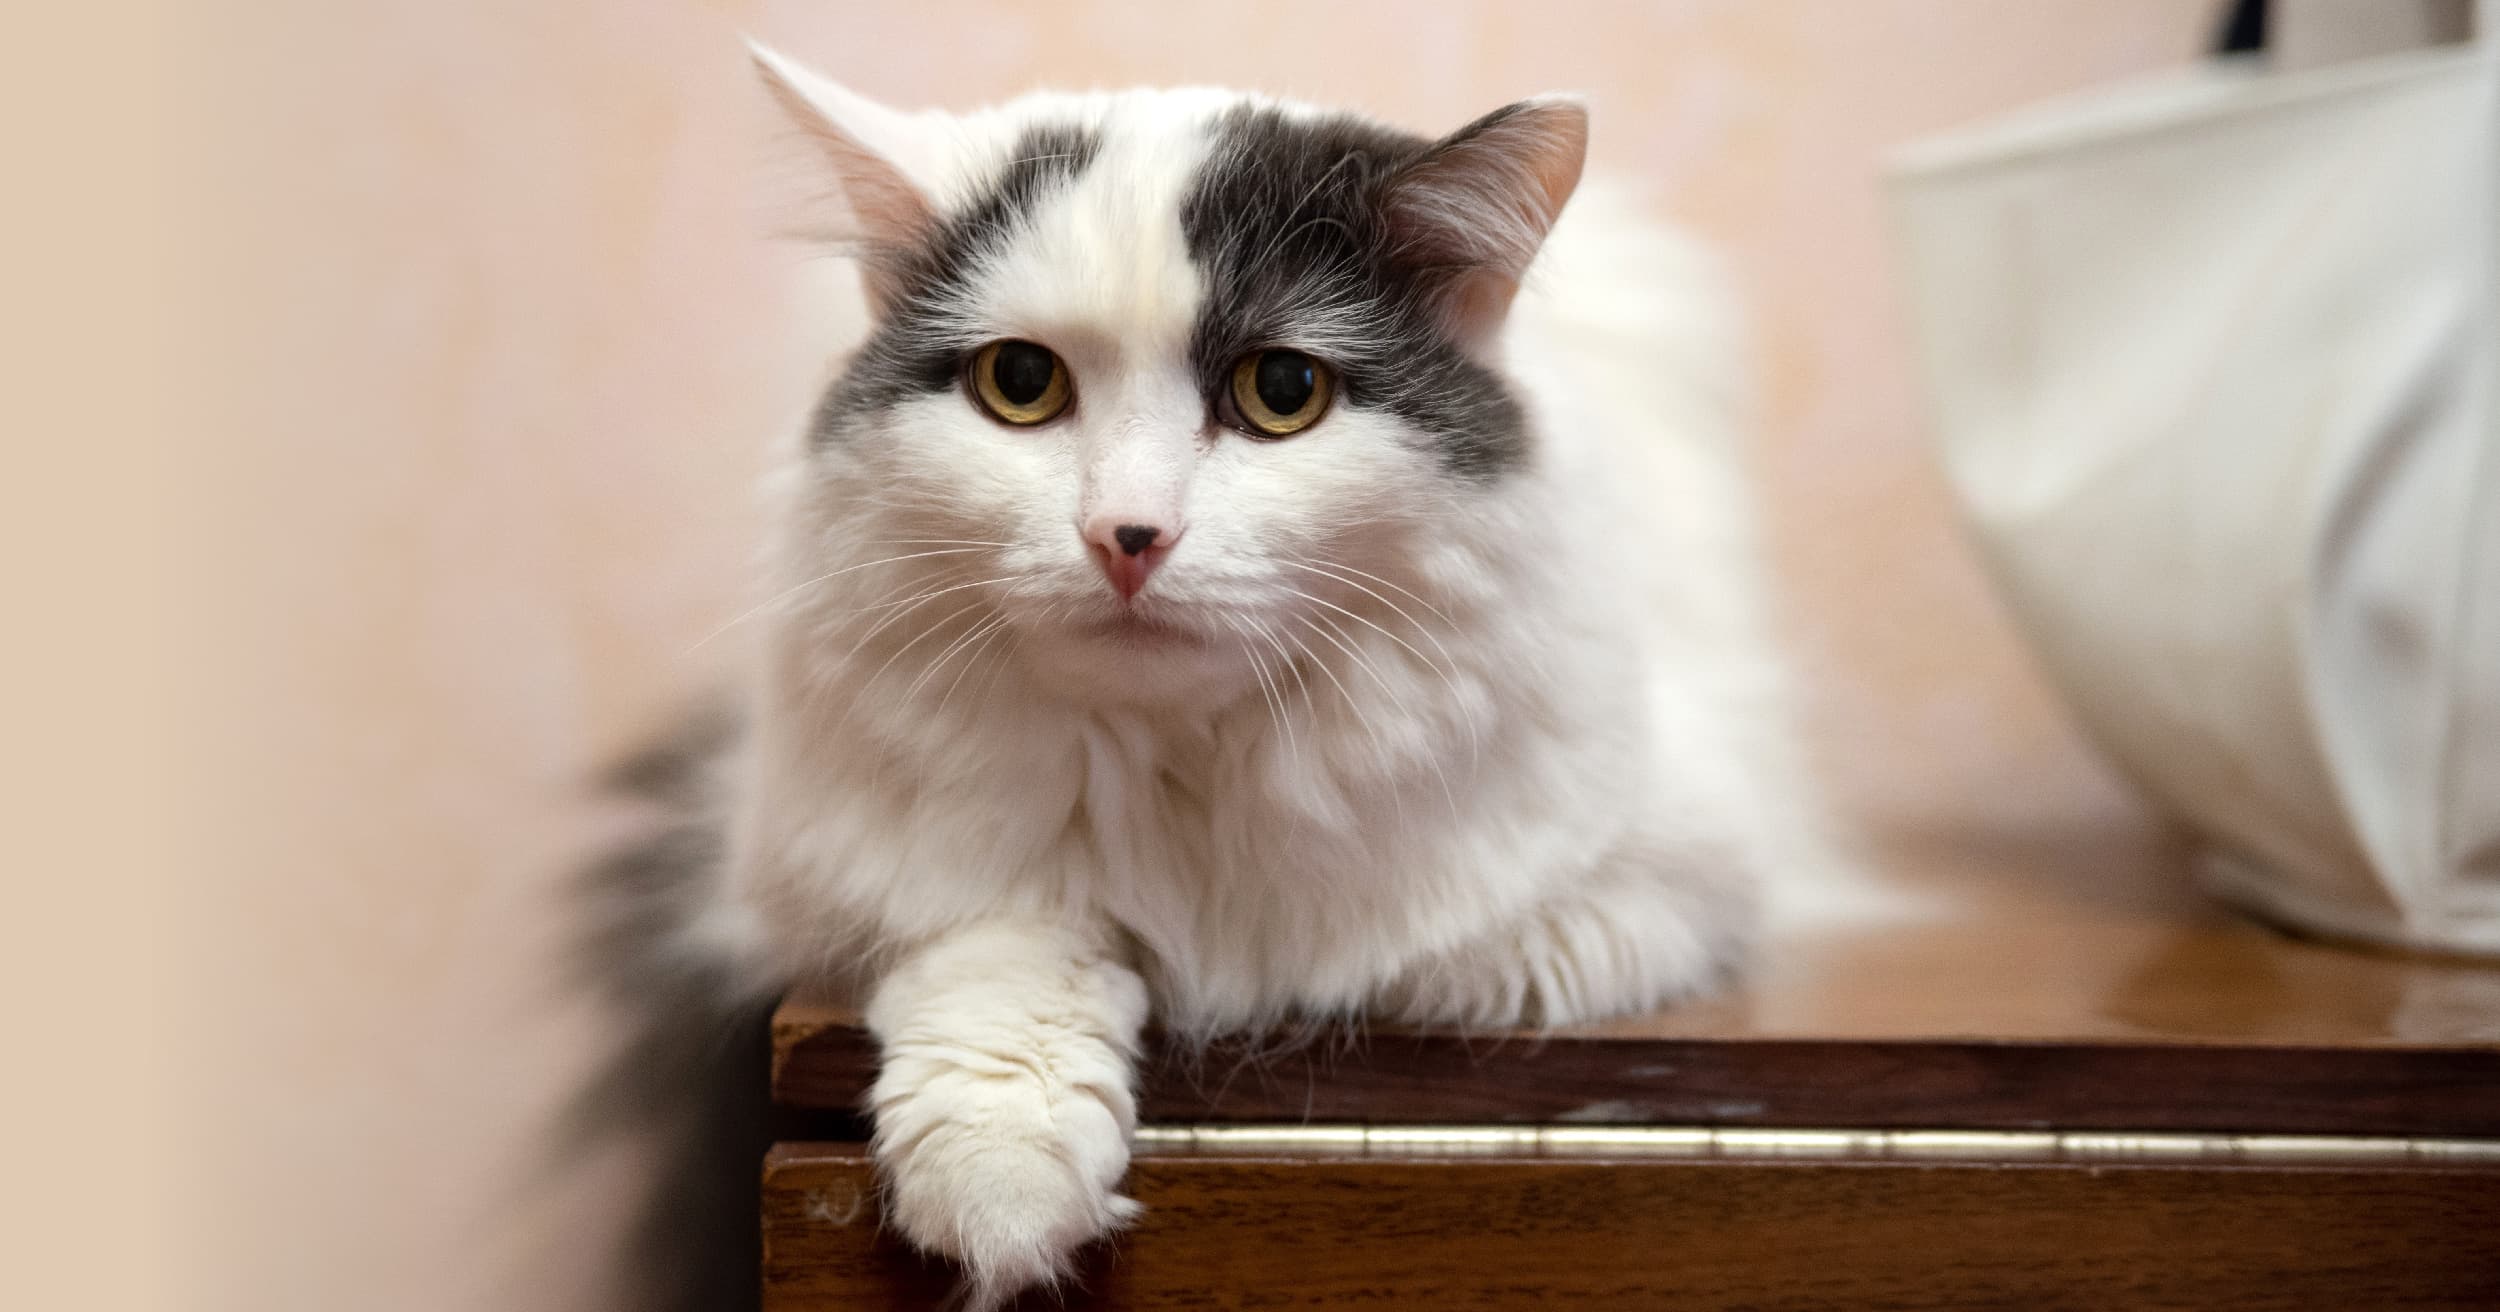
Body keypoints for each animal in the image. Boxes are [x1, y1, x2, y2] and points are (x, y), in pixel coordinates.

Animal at [580, 38, 1840, 1309]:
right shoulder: (833, 868)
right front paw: (1002, 1183)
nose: (1126, 537)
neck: (1176, 765)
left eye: (1281, 393)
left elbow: (1396, 958)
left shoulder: (1656, 878)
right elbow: (1003, 945)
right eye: (1021, 383)